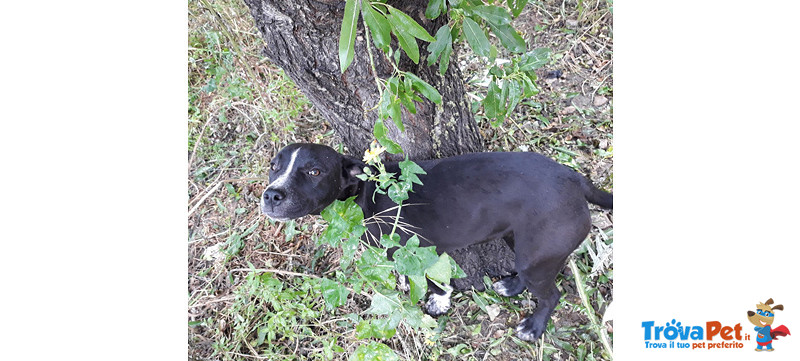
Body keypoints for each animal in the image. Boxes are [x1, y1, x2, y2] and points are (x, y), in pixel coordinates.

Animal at [260, 143, 608, 340]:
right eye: (273, 166)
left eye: (315, 172)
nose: (271, 194)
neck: (367, 192)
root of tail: (577, 180)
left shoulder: (426, 249)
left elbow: (435, 280)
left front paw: (439, 302)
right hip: (522, 244)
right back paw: (511, 286)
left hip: (539, 254)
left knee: (552, 295)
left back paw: (533, 327)